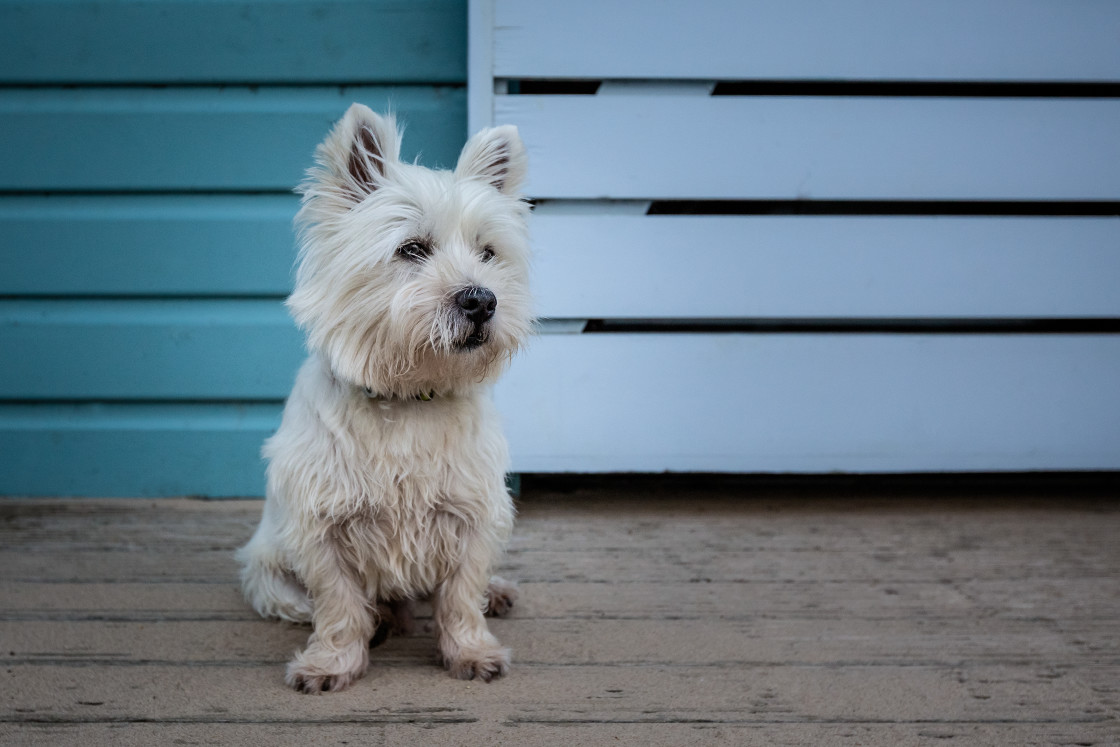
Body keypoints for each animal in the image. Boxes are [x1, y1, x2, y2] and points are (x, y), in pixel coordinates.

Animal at [234, 102, 530, 694]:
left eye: (489, 253)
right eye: (411, 248)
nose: (482, 300)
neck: (410, 395)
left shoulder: (474, 514)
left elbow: (460, 595)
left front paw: (472, 652)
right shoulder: (321, 527)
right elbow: (337, 605)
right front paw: (332, 663)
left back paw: (494, 592)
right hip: (269, 571)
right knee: (312, 603)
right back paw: (384, 622)